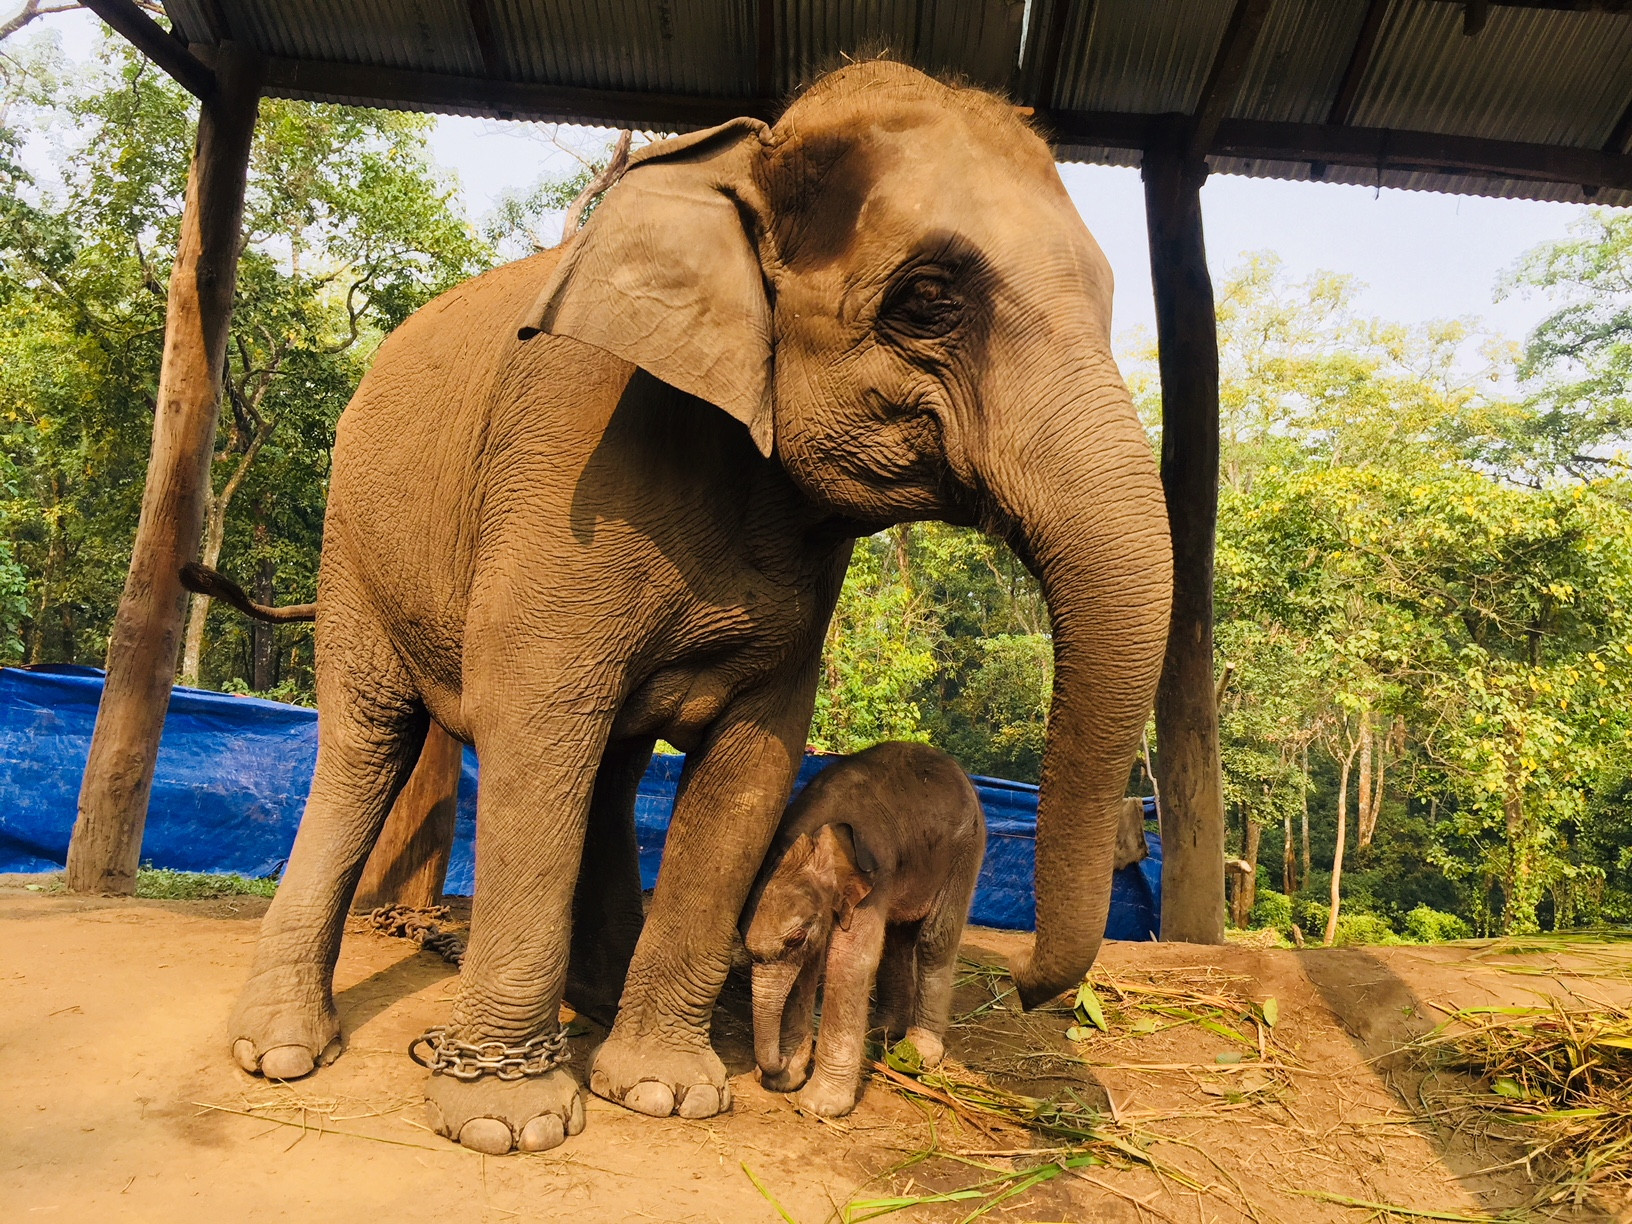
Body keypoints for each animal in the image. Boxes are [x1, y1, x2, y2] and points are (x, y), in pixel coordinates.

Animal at [747, 744, 985, 1116]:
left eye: (796, 937)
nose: (776, 1067)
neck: (817, 831)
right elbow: (809, 965)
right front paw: (789, 1079)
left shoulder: (876, 873)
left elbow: (849, 961)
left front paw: (820, 1105)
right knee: (898, 937)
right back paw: (882, 1029)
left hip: (966, 849)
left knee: (934, 939)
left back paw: (920, 1050)